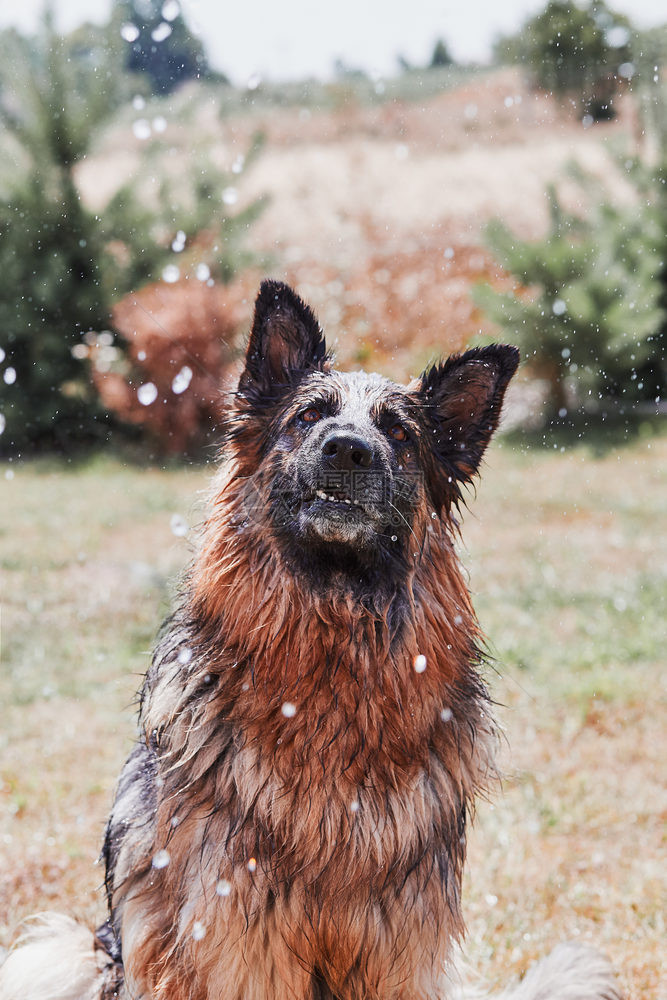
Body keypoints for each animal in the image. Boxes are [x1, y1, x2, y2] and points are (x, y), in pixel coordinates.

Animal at [0, 282, 620, 1000]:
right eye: (309, 416)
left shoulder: (400, 941)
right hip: (75, 953)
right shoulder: (235, 932)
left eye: (399, 434)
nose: (348, 449)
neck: (328, 661)